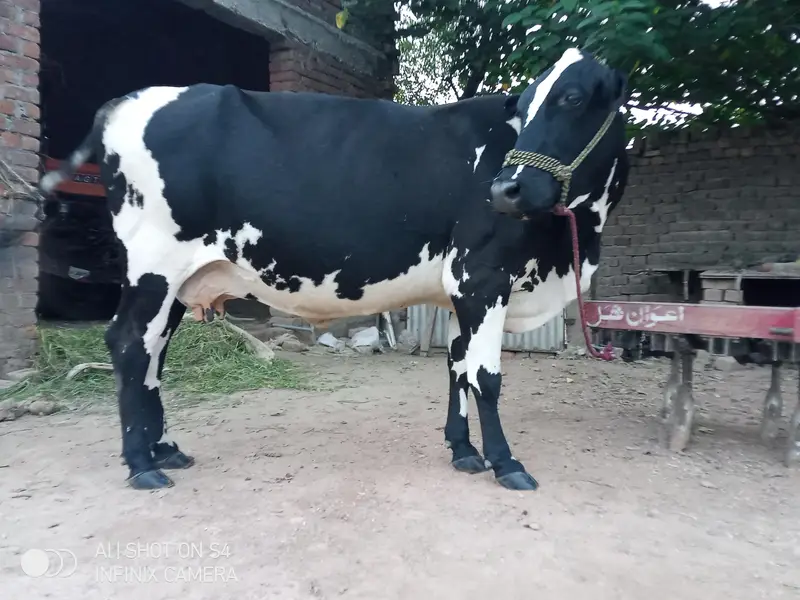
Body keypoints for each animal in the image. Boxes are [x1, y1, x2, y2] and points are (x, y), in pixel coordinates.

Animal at [39, 47, 629, 492]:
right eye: (527, 104)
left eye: (572, 97)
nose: (505, 189)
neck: (570, 243)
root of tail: (129, 99)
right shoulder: (482, 277)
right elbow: (485, 375)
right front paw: (506, 462)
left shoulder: (462, 289)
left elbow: (457, 365)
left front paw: (463, 449)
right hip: (154, 265)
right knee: (129, 343)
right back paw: (141, 464)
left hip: (180, 279)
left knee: (153, 350)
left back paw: (163, 449)